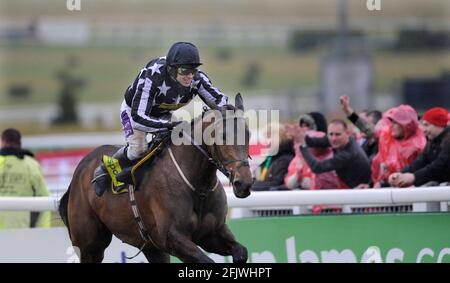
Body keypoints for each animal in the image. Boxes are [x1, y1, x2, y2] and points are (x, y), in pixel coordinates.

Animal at [58, 95, 253, 264]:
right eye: (223, 135)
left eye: (248, 134)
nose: (243, 183)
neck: (199, 187)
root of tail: (81, 167)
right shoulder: (172, 238)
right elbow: (206, 260)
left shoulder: (211, 233)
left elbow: (241, 252)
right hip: (90, 244)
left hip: (150, 247)